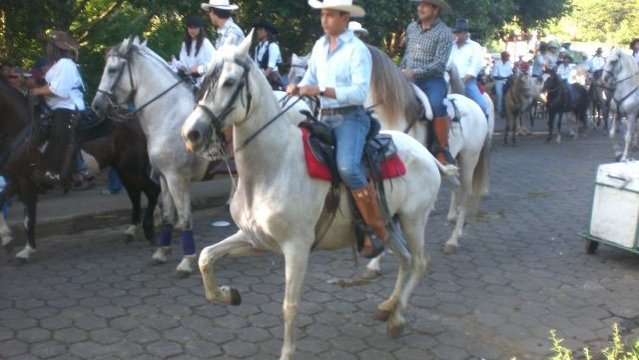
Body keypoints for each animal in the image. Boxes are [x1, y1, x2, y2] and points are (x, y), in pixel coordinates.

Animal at [180, 32, 440, 358]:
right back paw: (388, 308)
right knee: (404, 259)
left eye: (228, 82)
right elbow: (206, 257)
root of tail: (429, 156)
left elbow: (289, 306)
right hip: (387, 223)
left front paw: (286, 352)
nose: (191, 134)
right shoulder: (255, 240)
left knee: (419, 262)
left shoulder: (297, 247)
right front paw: (228, 294)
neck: (273, 164)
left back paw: (397, 318)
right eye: (203, 82)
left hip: (413, 221)